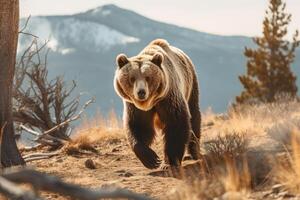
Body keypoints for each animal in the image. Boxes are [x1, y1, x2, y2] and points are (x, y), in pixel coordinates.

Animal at [113, 38, 200, 169]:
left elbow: (176, 123)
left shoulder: (168, 98)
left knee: (194, 116)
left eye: (147, 77)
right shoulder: (135, 107)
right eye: (132, 78)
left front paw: (170, 161)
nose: (141, 92)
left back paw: (193, 152)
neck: (149, 103)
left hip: (190, 85)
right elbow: (138, 126)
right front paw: (151, 159)